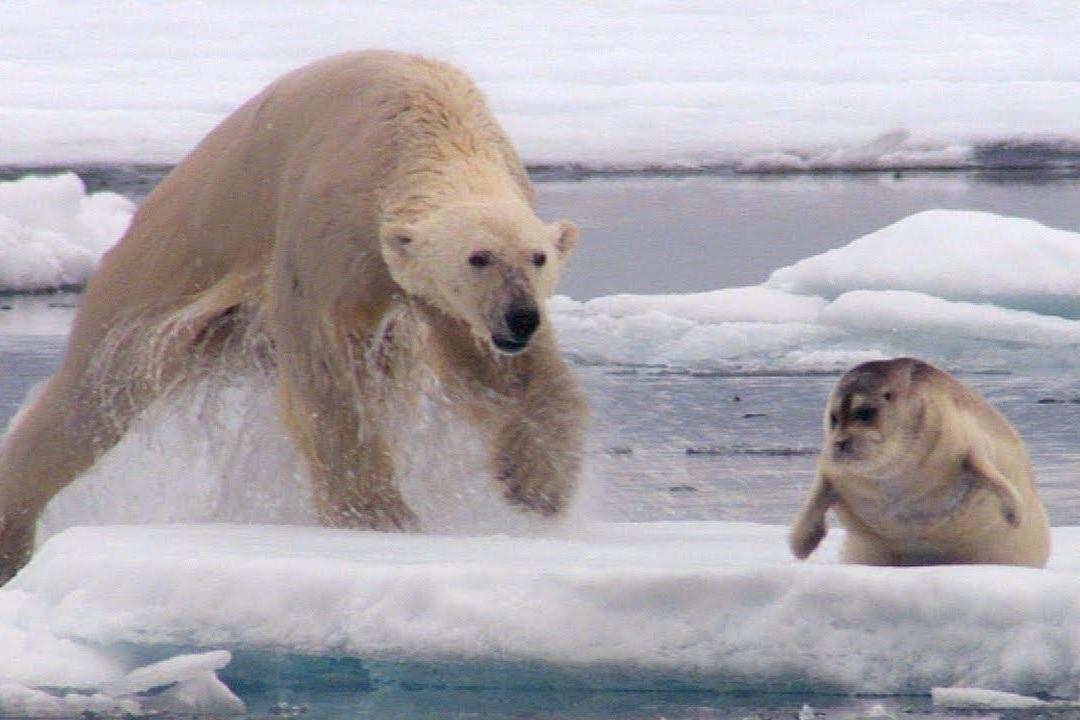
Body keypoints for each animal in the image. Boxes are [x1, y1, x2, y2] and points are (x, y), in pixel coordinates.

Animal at [0, 50, 587, 582]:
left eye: (538, 258)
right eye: (477, 257)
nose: (520, 317)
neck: (424, 125)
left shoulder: (441, 295)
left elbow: (503, 373)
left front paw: (538, 484)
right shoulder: (330, 220)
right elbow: (326, 371)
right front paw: (379, 518)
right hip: (172, 256)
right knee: (93, 393)